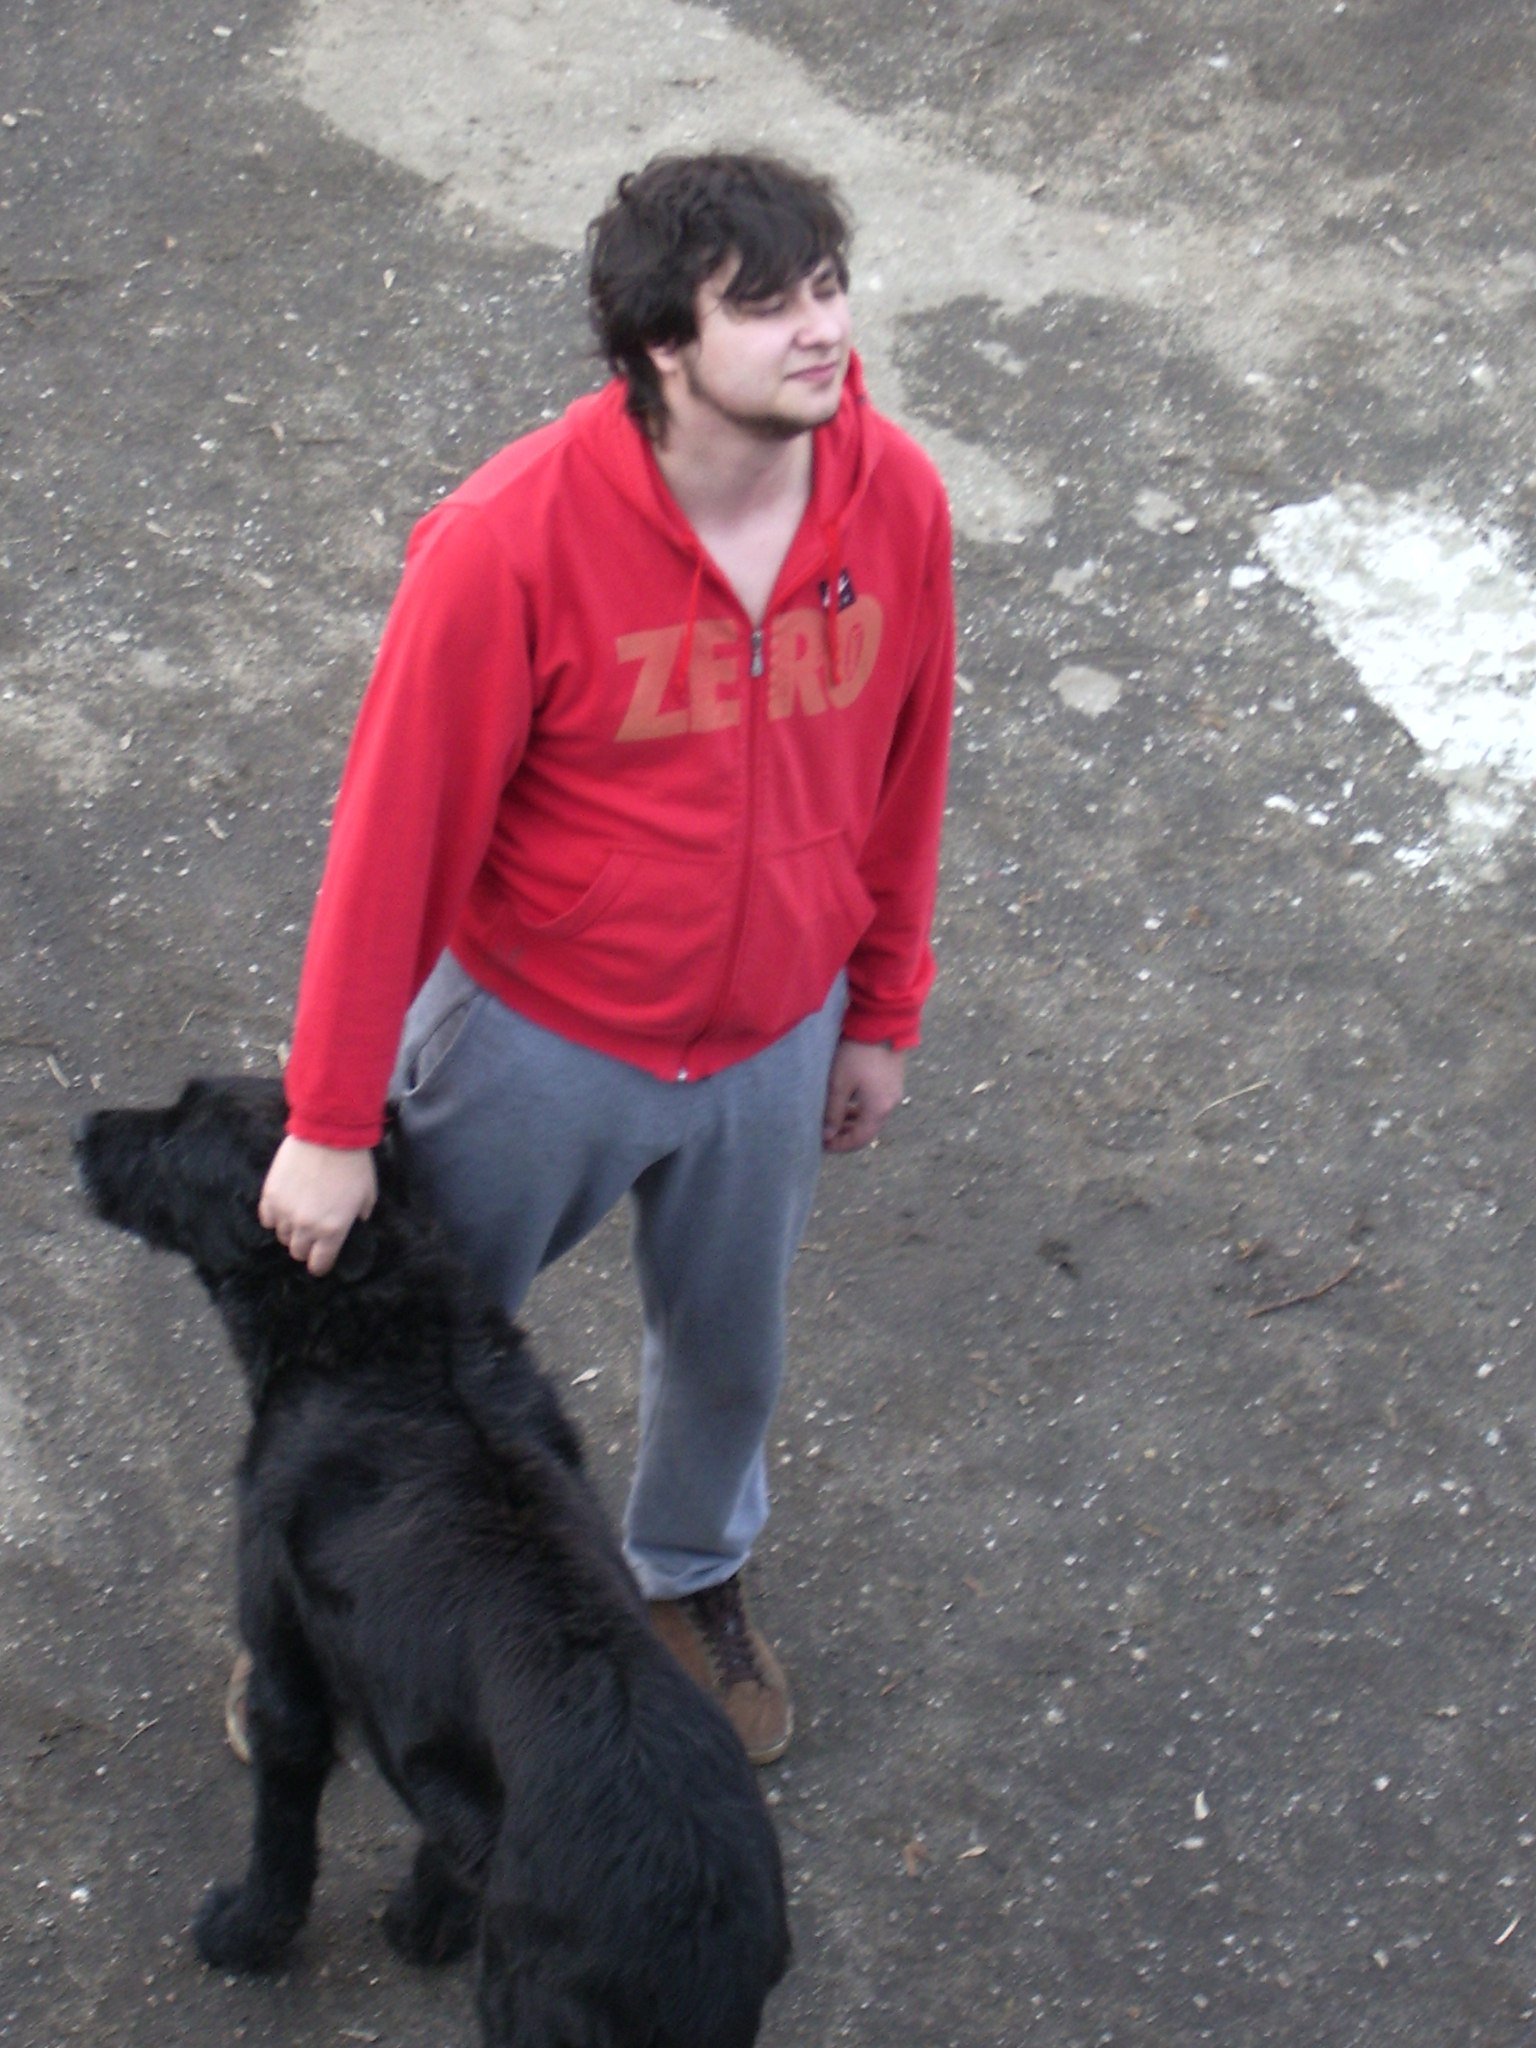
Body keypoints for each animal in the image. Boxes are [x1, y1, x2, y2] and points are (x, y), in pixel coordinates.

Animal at [75, 1076, 790, 2048]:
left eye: (182, 1129)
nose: (85, 1129)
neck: (384, 1332)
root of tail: (696, 1917)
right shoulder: (437, 1742)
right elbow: (443, 1846)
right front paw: (427, 1922)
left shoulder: (287, 1667)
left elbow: (282, 1833)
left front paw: (246, 1933)